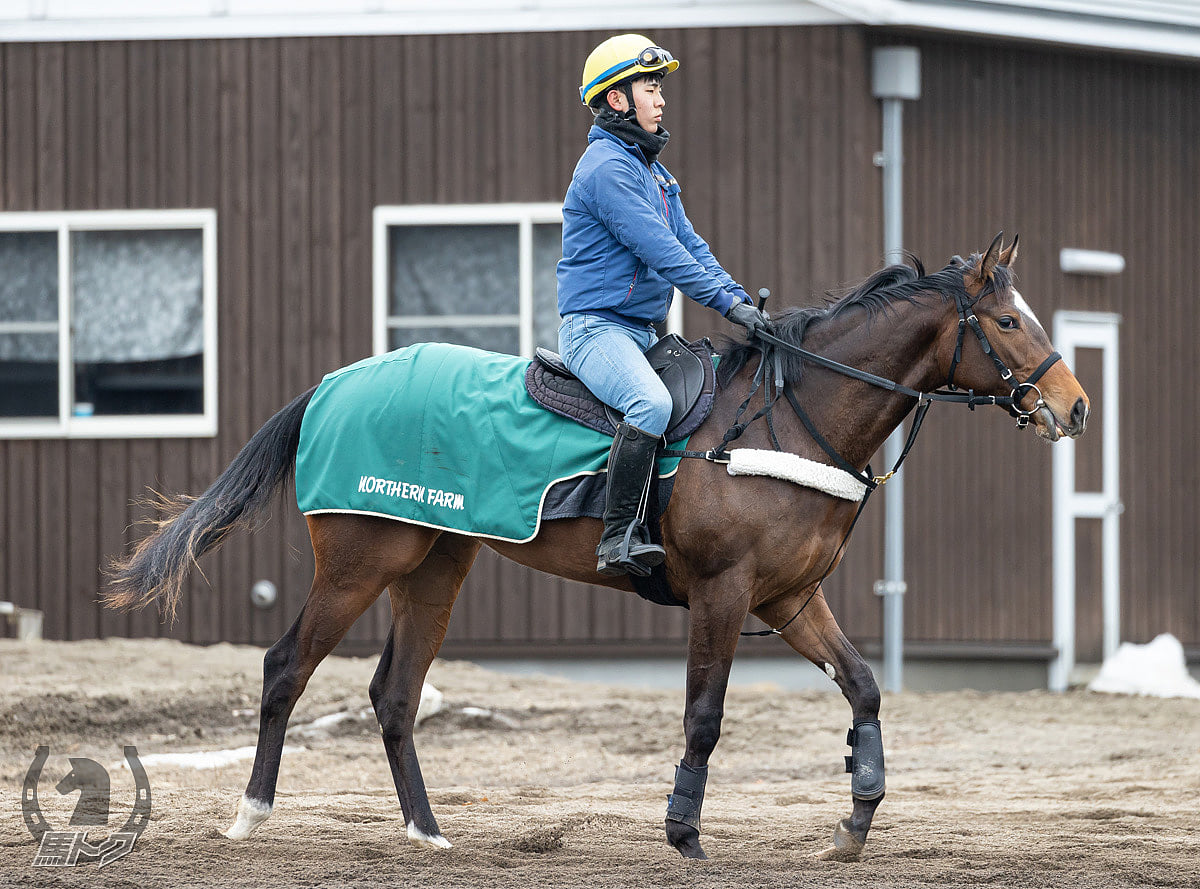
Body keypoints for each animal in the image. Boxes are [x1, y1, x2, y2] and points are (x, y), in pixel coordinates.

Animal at [108, 233, 1094, 859]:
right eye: (1010, 323)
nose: (1076, 405)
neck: (791, 414)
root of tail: (332, 384)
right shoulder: (725, 594)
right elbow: (704, 715)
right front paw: (683, 829)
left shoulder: (791, 599)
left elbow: (865, 687)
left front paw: (855, 818)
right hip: (362, 562)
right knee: (285, 667)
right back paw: (251, 815)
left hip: (436, 565)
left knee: (394, 694)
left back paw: (427, 831)